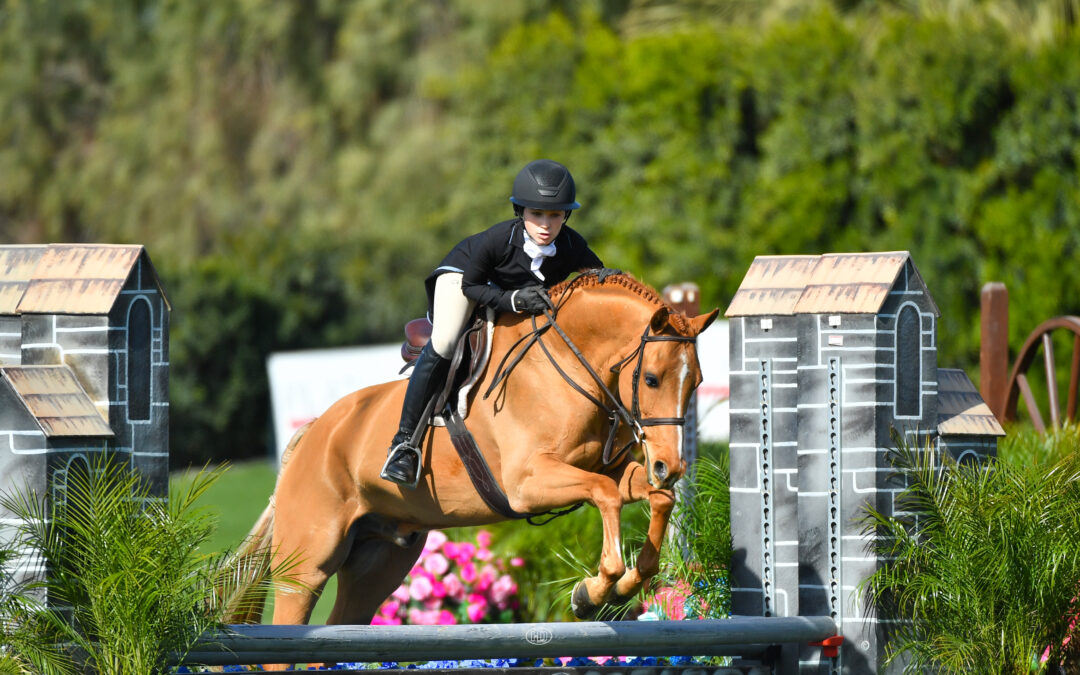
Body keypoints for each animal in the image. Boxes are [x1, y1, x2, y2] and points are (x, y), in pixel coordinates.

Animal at [230, 273, 717, 659]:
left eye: (696, 382)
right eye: (650, 379)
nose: (669, 465)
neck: (569, 368)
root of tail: (311, 434)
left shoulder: (609, 469)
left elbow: (655, 498)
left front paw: (627, 581)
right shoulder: (527, 484)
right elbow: (606, 494)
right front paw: (593, 591)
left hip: (377, 564)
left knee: (337, 631)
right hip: (306, 566)